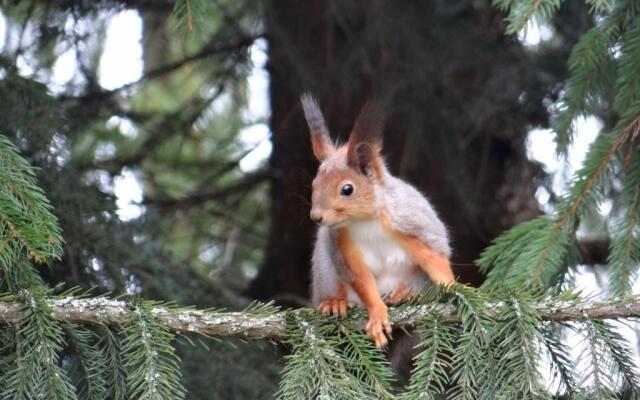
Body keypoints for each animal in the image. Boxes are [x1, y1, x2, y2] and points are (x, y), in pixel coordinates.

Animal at [300, 94, 456, 346]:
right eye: (314, 184)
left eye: (347, 189)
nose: (316, 216)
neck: (365, 221)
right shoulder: (342, 242)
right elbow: (361, 279)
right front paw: (377, 315)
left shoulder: (412, 222)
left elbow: (436, 257)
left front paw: (456, 287)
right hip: (325, 264)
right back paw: (335, 302)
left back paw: (406, 294)